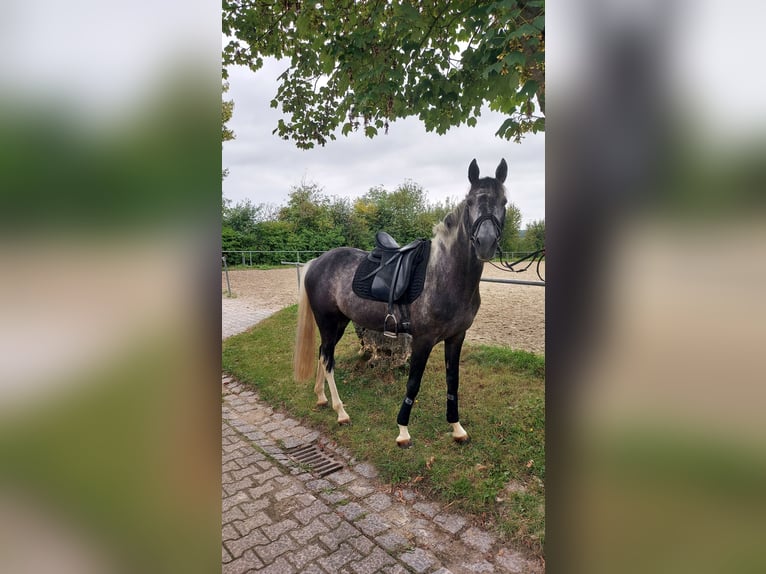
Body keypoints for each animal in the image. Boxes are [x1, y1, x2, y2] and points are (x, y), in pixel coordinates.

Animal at [294, 159, 510, 450]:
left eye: (504, 202)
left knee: (321, 354)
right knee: (328, 360)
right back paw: (341, 412)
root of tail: (317, 261)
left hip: (339, 323)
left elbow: (452, 382)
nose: (485, 243)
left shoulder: (456, 337)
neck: (444, 275)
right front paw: (403, 431)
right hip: (328, 322)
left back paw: (321, 397)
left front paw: (457, 428)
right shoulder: (423, 340)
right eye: (470, 202)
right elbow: (413, 383)